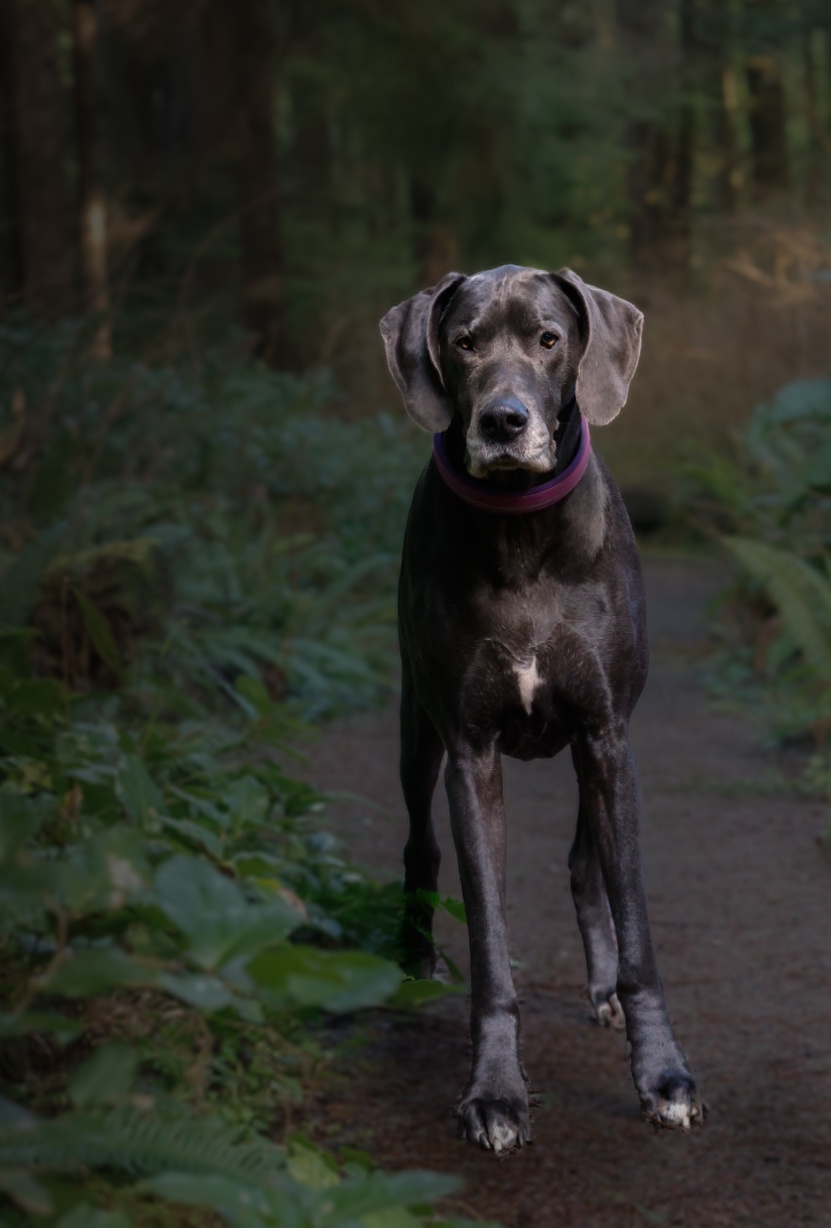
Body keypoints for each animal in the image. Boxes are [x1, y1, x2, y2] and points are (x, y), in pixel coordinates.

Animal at [378, 264, 702, 1154]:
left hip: (595, 751)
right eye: (462, 342)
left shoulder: (607, 736)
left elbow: (637, 931)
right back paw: (412, 959)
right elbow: (490, 944)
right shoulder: (470, 752)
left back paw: (603, 987)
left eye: (549, 339)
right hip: (416, 735)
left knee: (586, 864)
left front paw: (662, 1075)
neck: (522, 536)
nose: (502, 421)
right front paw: (494, 1093)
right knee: (419, 844)